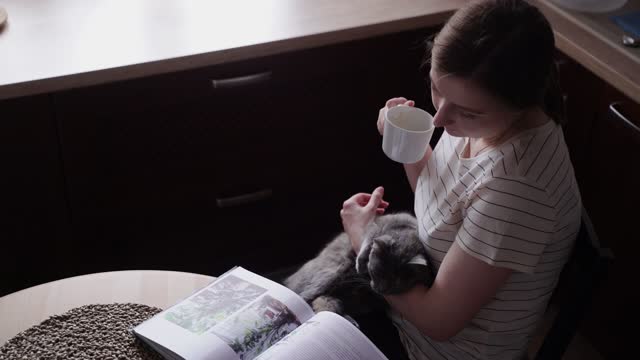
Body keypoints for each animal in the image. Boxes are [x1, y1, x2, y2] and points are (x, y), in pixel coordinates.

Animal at [282, 212, 432, 316]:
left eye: (396, 283)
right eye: (376, 272)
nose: (380, 290)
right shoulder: (376, 225)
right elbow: (367, 242)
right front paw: (360, 263)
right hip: (329, 274)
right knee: (304, 296)